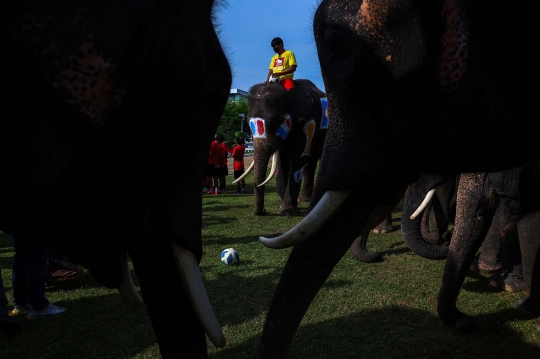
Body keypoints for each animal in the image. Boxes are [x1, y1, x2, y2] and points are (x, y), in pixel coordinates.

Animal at [242, 79, 330, 217]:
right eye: (248, 123)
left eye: (275, 122)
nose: (265, 210)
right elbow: (283, 162)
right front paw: (286, 205)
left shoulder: (310, 120)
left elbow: (298, 159)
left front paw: (287, 211)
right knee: (311, 162)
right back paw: (304, 199)